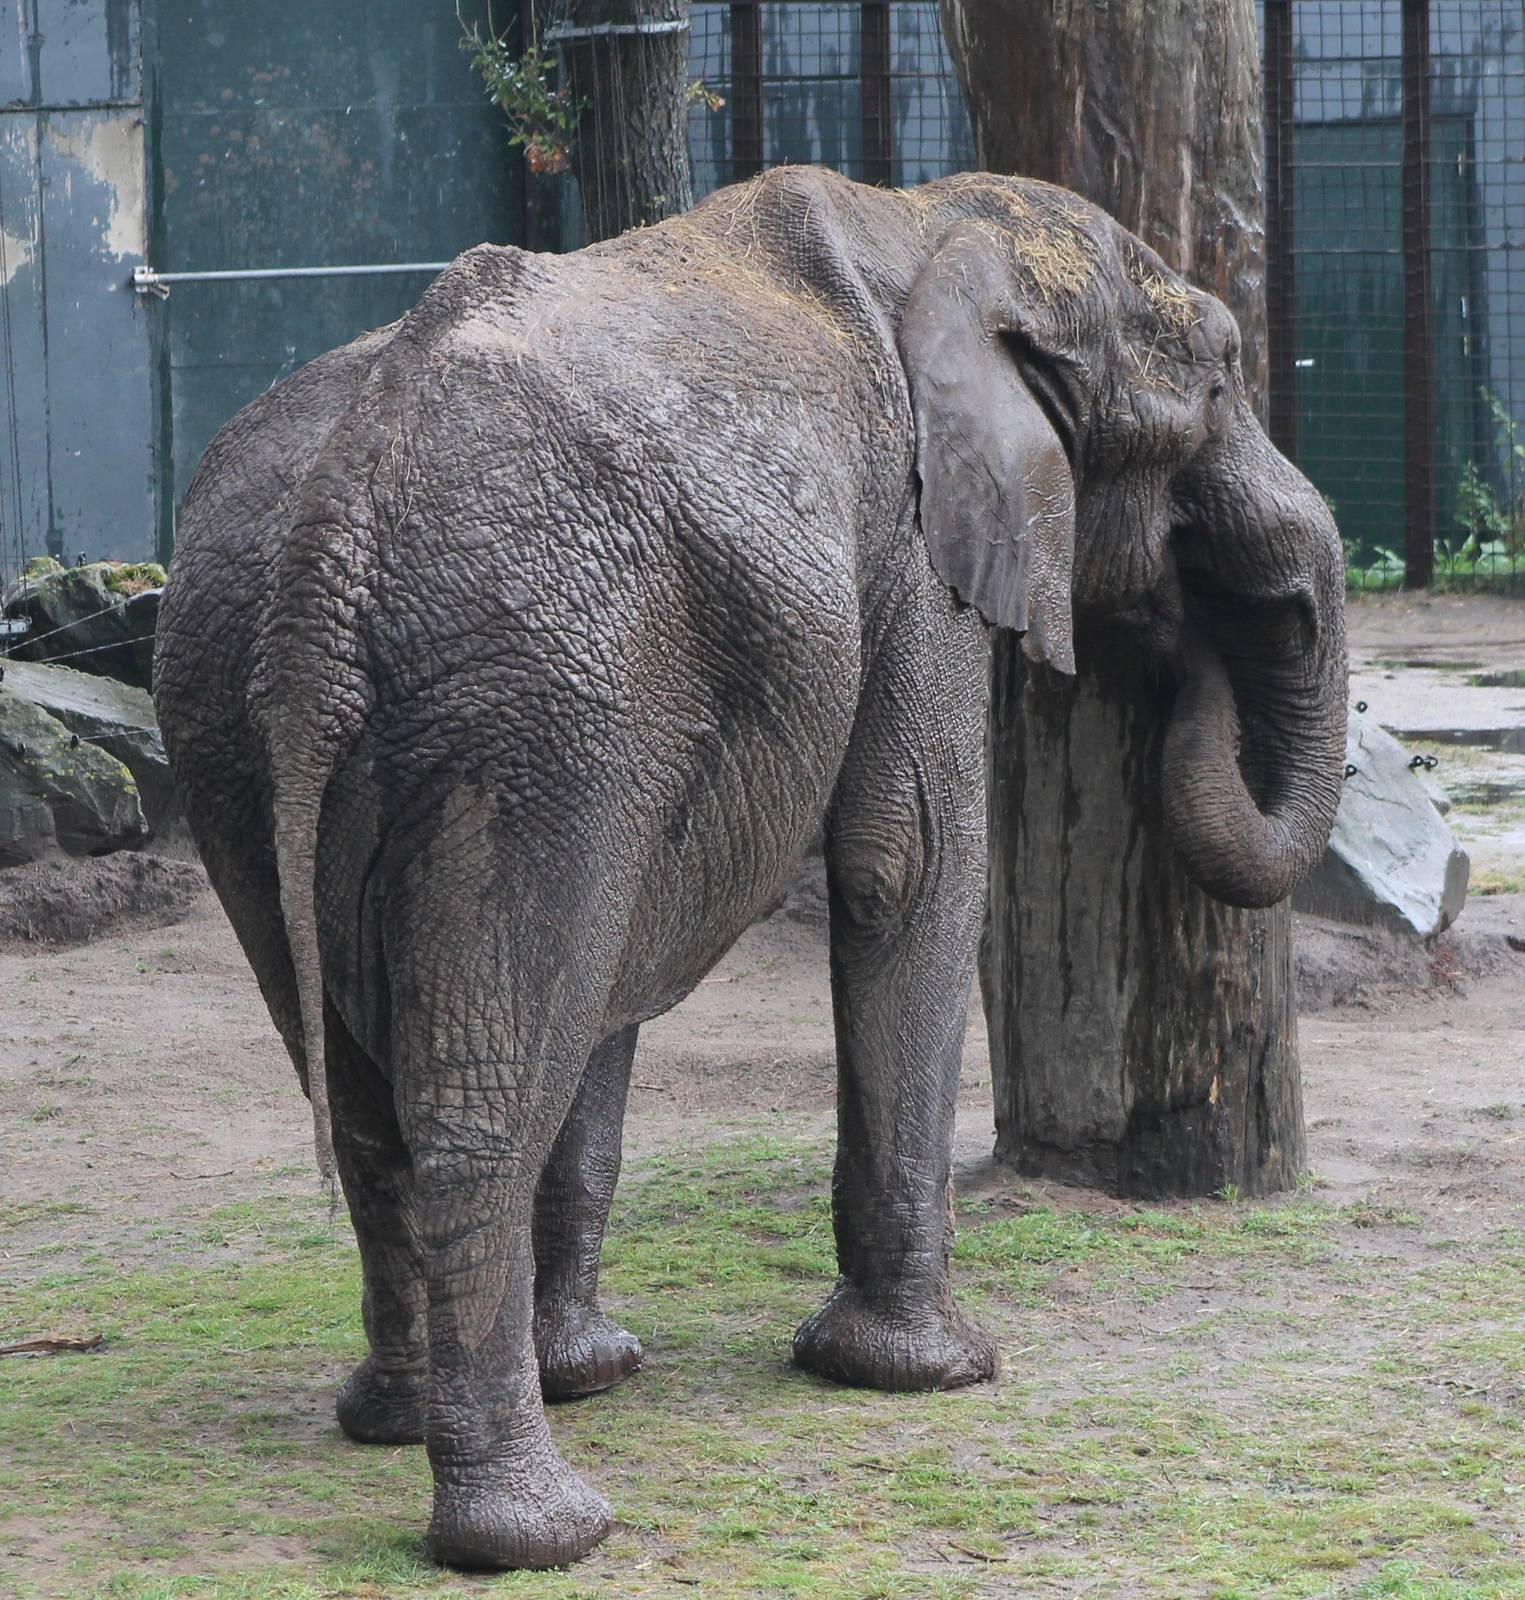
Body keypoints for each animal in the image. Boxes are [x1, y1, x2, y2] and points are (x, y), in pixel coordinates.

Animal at [153, 165, 1347, 1570]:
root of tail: (337, 521)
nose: (1179, 630)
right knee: (473, 1102)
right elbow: (910, 859)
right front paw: (931, 1371)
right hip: (535, 702)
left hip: (237, 713)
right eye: (1217, 376)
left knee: (365, 1079)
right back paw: (538, 1531)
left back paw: (395, 1421)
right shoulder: (912, 537)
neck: (937, 219)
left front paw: (597, 1371)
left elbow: (615, 979)